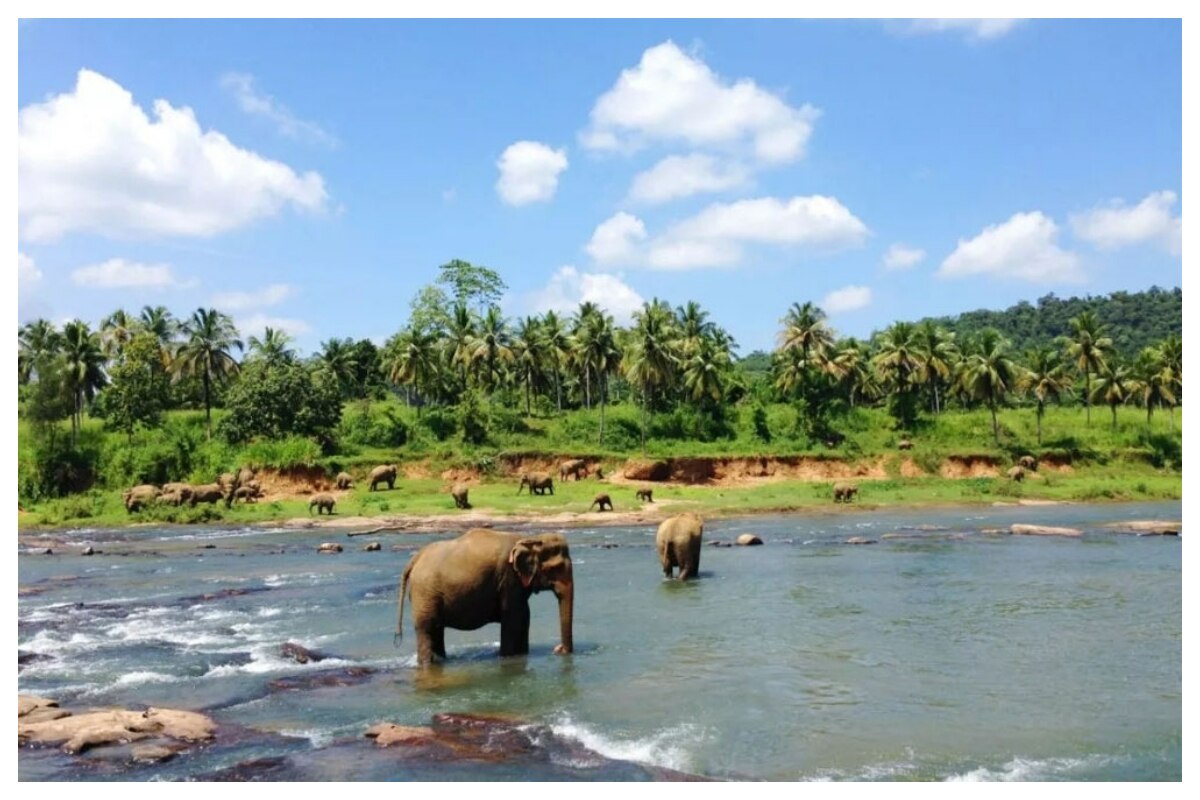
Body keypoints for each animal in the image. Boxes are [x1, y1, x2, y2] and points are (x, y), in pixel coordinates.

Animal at [396, 527, 573, 666]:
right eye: (557, 568)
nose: (558, 649)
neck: (530, 539)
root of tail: (415, 559)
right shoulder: (509, 578)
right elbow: (515, 617)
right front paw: (508, 659)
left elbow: (524, 617)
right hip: (424, 592)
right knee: (427, 628)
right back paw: (427, 665)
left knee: (436, 629)